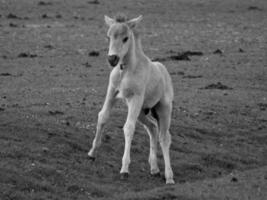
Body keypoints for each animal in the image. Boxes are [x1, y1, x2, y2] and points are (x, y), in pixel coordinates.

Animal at [89, 14, 175, 184]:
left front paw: (124, 169)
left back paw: (169, 177)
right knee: (153, 128)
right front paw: (92, 153)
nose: (112, 59)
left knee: (164, 137)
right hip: (142, 111)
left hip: (163, 109)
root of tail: (164, 71)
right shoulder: (112, 91)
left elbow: (128, 127)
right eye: (108, 37)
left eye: (126, 38)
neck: (126, 69)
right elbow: (103, 116)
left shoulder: (136, 98)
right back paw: (154, 168)